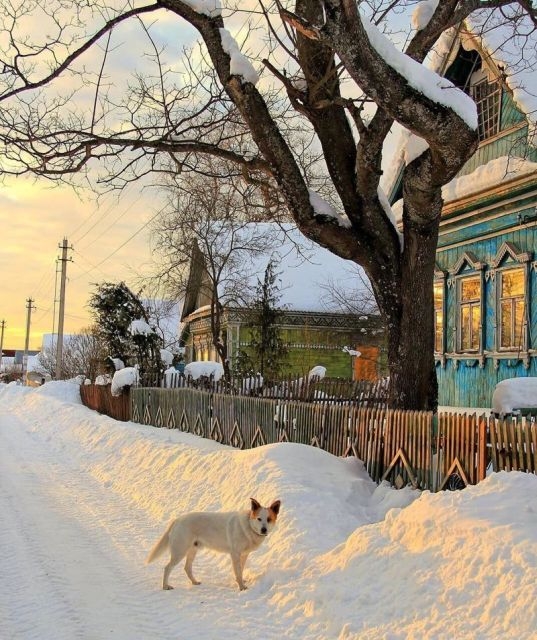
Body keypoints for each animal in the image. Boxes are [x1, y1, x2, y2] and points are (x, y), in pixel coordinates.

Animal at [144, 498, 282, 592]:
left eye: (269, 519)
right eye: (259, 519)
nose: (264, 530)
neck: (248, 526)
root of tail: (177, 520)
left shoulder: (243, 555)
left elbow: (241, 570)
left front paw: (241, 581)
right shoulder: (235, 554)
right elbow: (238, 571)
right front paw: (242, 587)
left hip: (192, 550)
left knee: (187, 568)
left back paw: (194, 582)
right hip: (180, 551)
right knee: (167, 568)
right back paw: (165, 586)